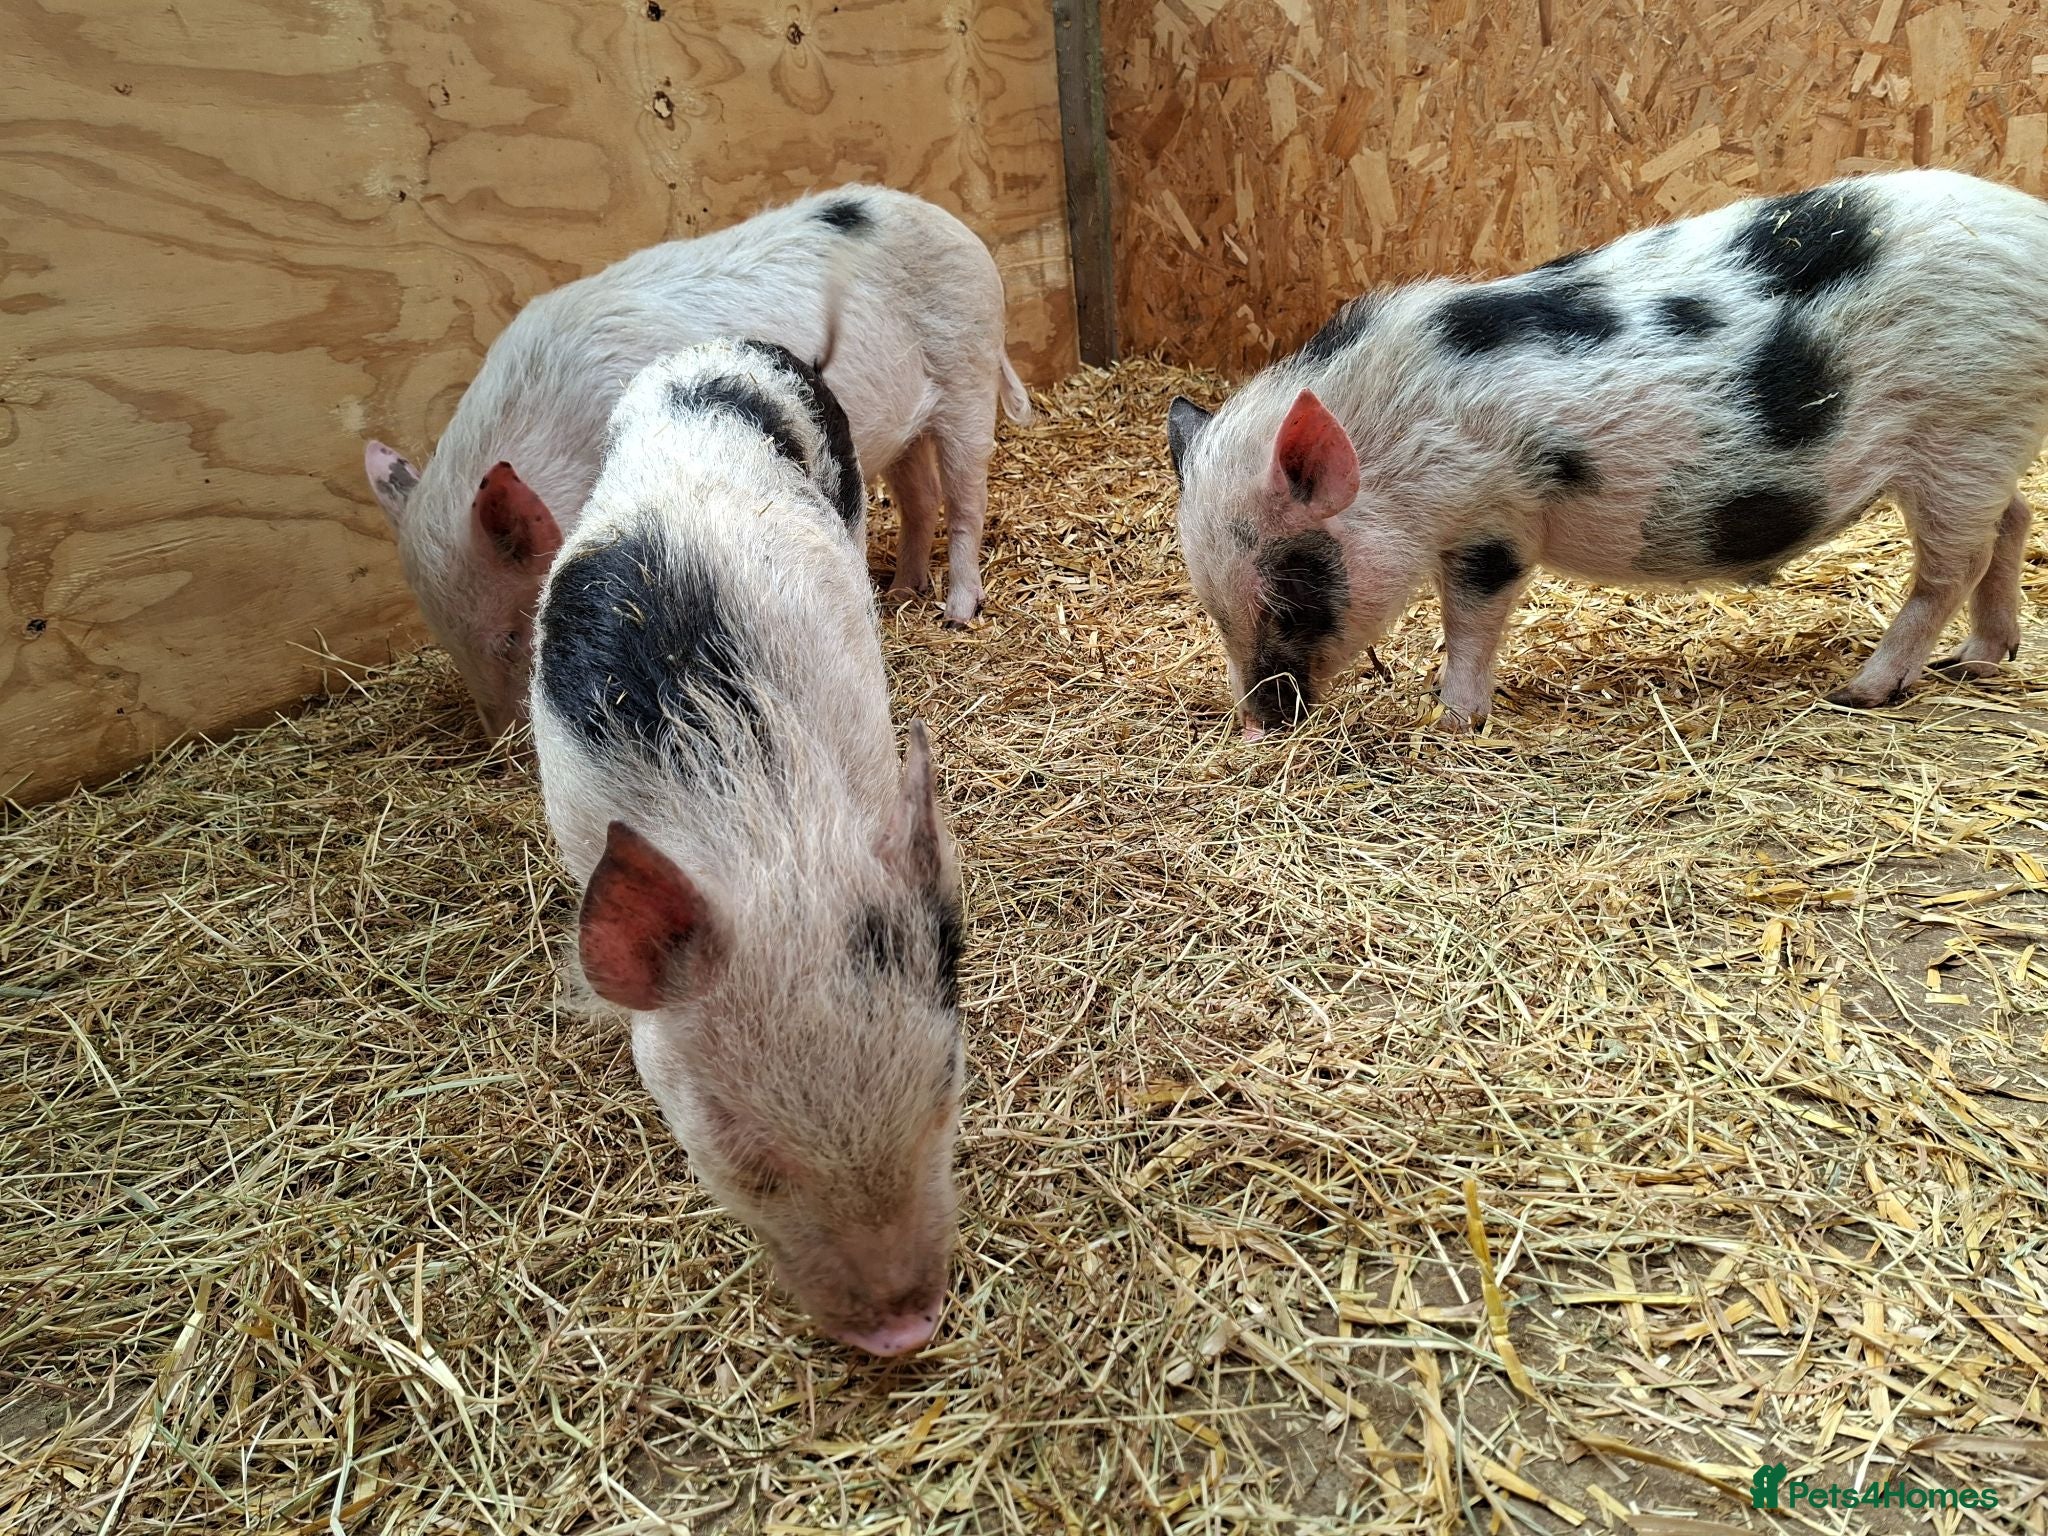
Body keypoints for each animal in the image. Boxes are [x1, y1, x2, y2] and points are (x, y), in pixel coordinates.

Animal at [365, 185, 1032, 736]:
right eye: (447, 640)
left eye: (510, 636)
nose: (504, 747)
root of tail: (960, 229)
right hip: (904, 425)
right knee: (920, 498)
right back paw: (899, 592)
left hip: (968, 370)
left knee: (967, 498)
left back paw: (956, 613)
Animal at [1166, 169, 2048, 735]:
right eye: (1209, 605)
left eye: (1293, 589)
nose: (1258, 727)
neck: (1398, 441)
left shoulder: (1495, 519)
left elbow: (1472, 619)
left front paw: (1450, 720)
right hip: (1983, 442)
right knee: (2013, 518)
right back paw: (1981, 660)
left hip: (1963, 430)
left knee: (1951, 566)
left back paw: (1862, 691)